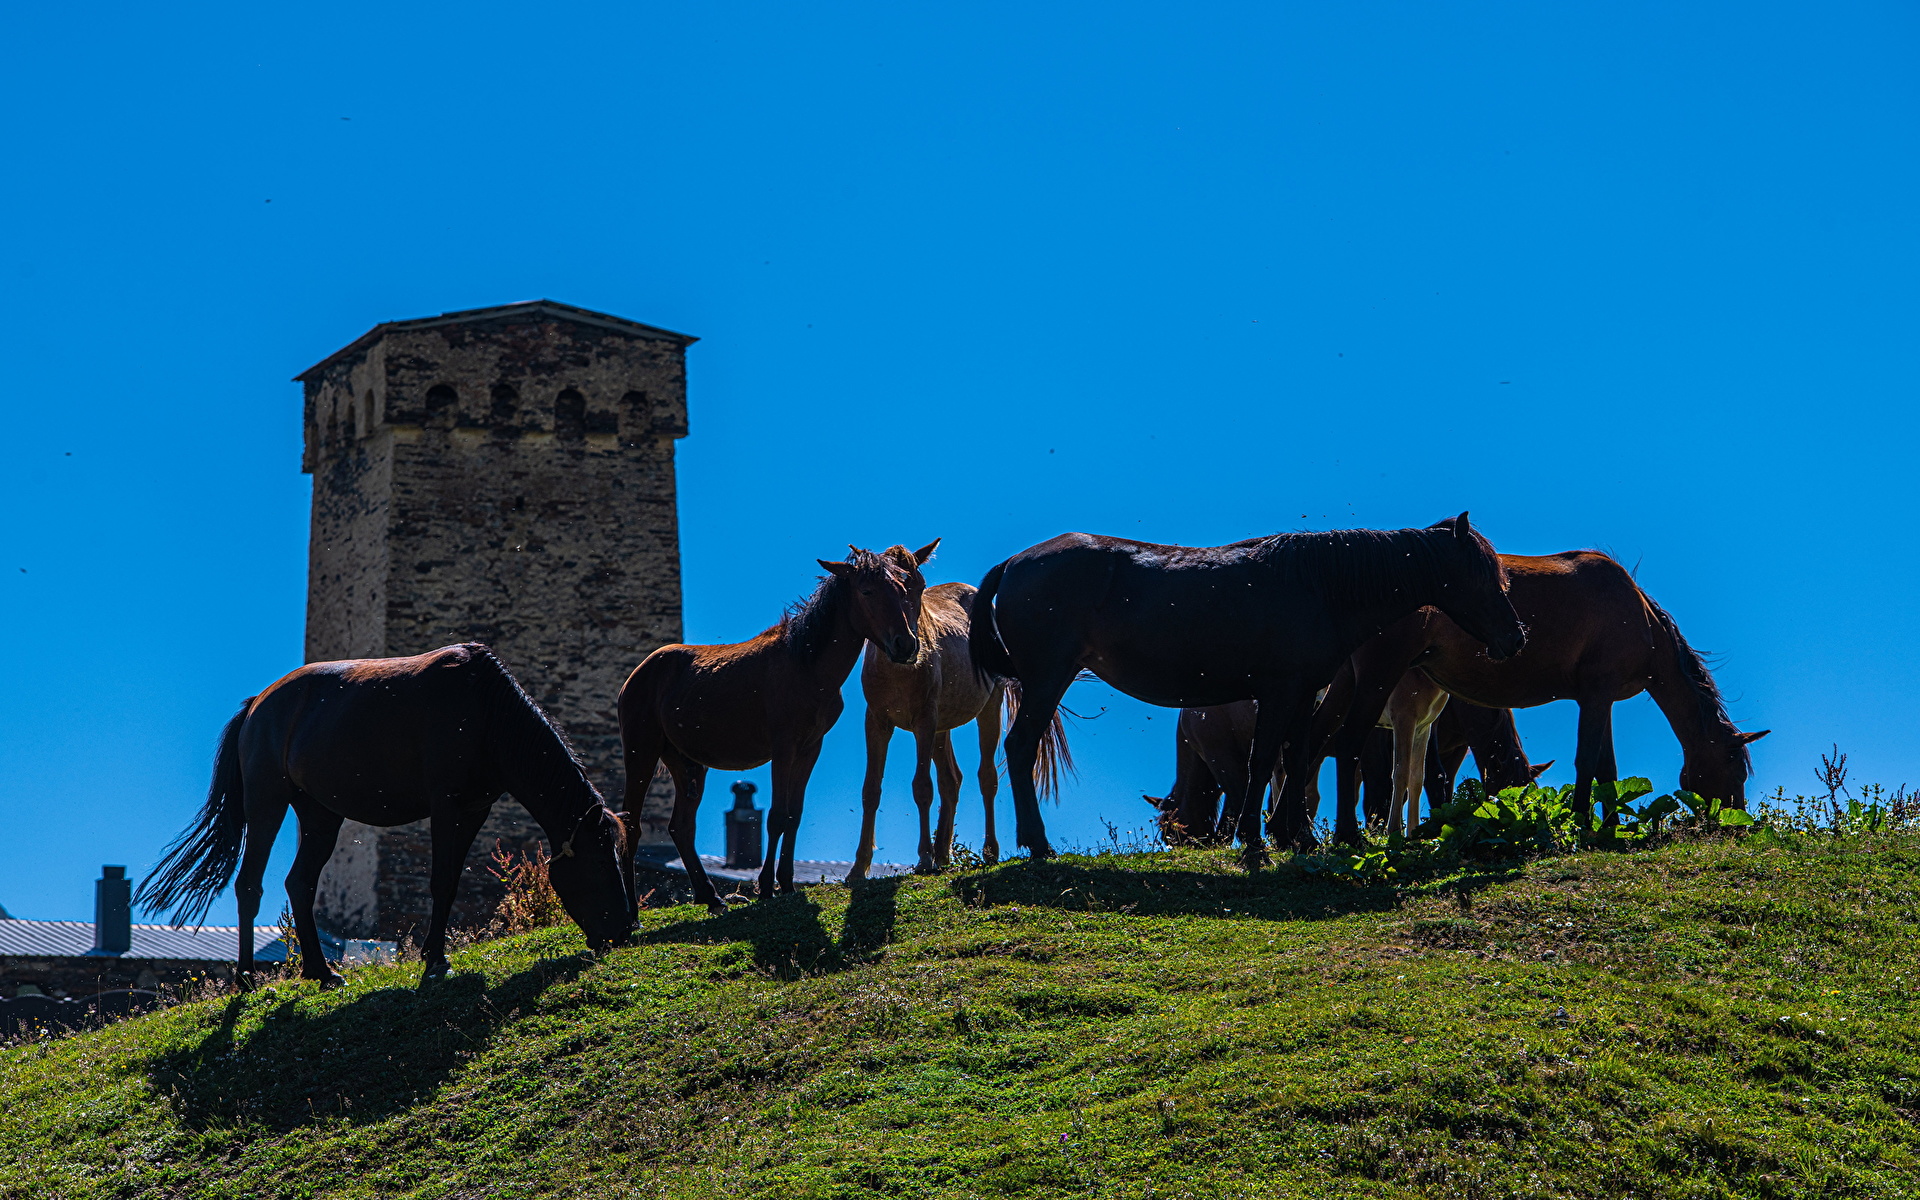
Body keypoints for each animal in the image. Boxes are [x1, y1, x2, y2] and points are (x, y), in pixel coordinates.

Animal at [137, 641, 629, 990]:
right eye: (599, 860)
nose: (624, 931)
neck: (486, 713)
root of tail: (258, 704)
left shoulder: (474, 809)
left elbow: (452, 881)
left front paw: (434, 957)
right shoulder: (446, 806)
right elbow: (441, 881)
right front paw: (435, 962)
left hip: (320, 815)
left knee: (300, 883)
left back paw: (321, 972)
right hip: (266, 805)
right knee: (249, 885)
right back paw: (246, 981)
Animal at [622, 541, 936, 906]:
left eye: (903, 588)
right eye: (867, 590)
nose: (906, 645)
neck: (806, 666)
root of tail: (639, 673)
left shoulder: (810, 749)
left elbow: (793, 815)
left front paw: (785, 883)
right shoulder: (783, 748)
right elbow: (776, 816)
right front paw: (765, 887)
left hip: (688, 763)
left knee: (681, 827)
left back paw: (711, 897)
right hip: (641, 752)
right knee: (631, 825)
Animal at [852, 579, 1075, 879]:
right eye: (867, 593)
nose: (906, 645)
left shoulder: (924, 722)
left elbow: (922, 787)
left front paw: (924, 859)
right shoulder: (877, 722)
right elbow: (871, 790)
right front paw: (858, 868)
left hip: (987, 709)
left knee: (986, 777)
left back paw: (988, 851)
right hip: (942, 727)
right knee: (951, 780)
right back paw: (942, 855)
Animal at [967, 510, 1520, 856]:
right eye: (1482, 573)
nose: (1516, 637)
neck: (1319, 586)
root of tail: (1013, 564)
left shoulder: (1302, 696)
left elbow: (1295, 761)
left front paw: (1298, 837)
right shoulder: (1279, 693)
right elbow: (1263, 762)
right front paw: (1258, 841)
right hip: (1046, 681)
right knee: (1019, 748)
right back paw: (1037, 844)